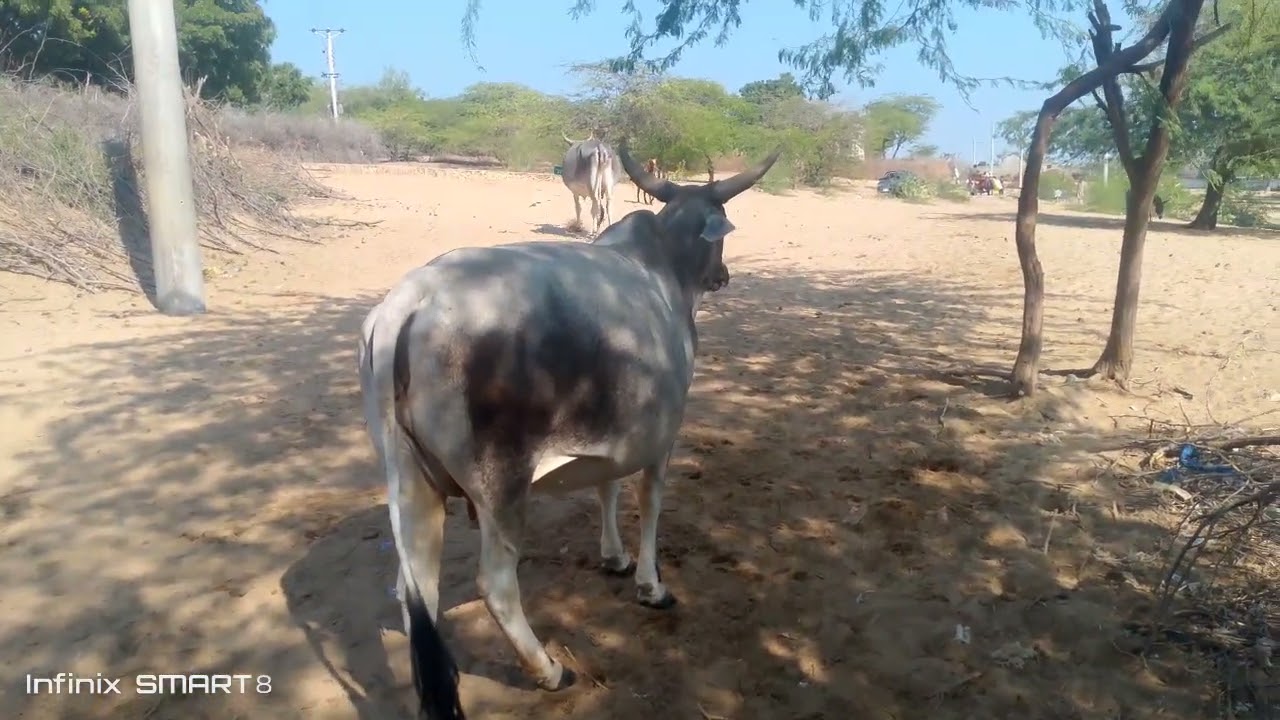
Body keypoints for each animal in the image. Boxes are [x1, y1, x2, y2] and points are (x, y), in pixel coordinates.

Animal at [357, 145, 781, 720]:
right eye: (719, 233)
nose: (723, 275)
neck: (664, 268)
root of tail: (409, 301)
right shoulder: (661, 435)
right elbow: (649, 503)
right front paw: (651, 585)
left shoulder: (616, 434)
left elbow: (607, 487)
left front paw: (614, 557)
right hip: (502, 486)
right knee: (496, 585)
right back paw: (550, 670)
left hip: (411, 481)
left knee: (414, 587)